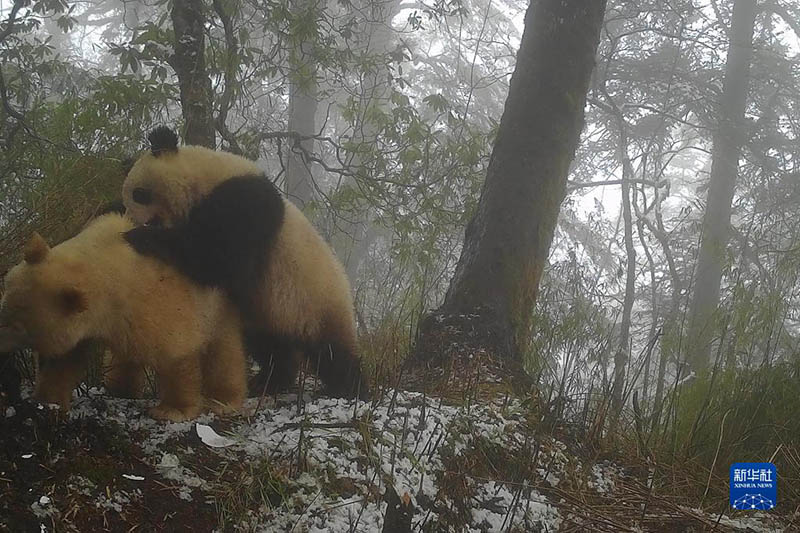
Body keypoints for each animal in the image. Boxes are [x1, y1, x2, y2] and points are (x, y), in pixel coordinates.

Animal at [120, 127, 368, 396]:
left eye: (139, 194)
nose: (133, 219)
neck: (205, 175)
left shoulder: (245, 201)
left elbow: (217, 259)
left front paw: (140, 236)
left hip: (317, 302)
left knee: (332, 352)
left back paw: (347, 388)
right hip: (266, 311)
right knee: (270, 345)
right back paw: (271, 381)